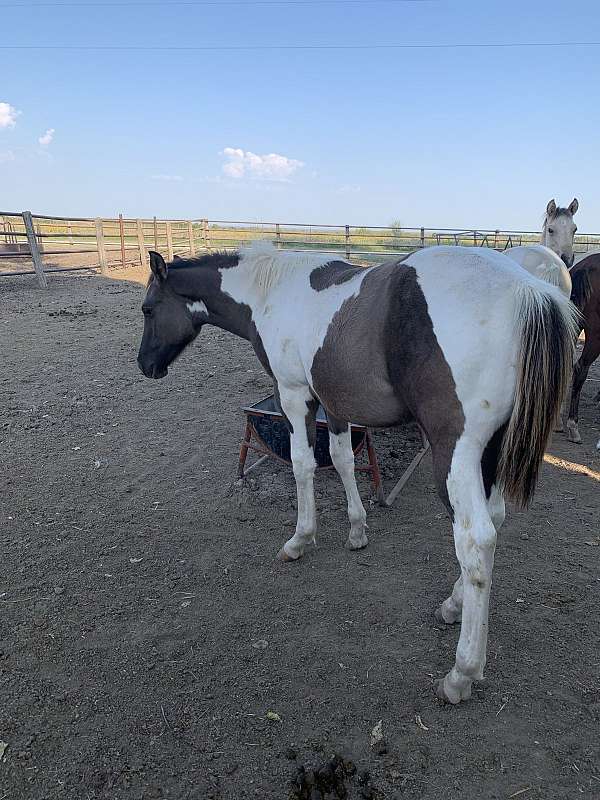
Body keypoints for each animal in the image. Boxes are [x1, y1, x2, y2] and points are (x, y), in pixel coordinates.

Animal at [136, 242, 576, 700]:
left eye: (149, 309)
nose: (145, 365)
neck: (270, 290)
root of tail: (529, 290)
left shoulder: (294, 396)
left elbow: (303, 465)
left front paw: (300, 539)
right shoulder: (334, 403)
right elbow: (342, 458)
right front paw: (357, 530)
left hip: (456, 453)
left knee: (476, 541)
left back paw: (462, 673)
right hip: (491, 450)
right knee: (495, 518)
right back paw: (453, 605)